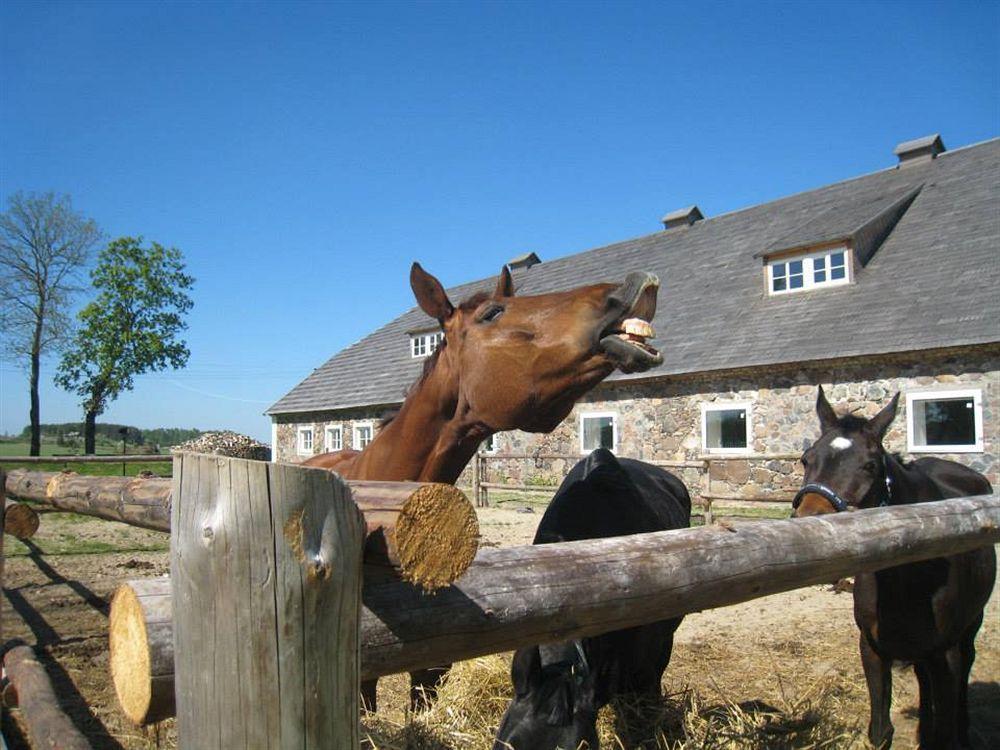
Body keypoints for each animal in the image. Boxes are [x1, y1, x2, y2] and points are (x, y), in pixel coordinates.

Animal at [792, 388, 996, 750]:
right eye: (806, 458)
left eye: (870, 465)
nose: (808, 523)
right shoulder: (872, 648)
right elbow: (880, 731)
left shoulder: (946, 654)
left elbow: (945, 731)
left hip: (971, 624)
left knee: (966, 666)